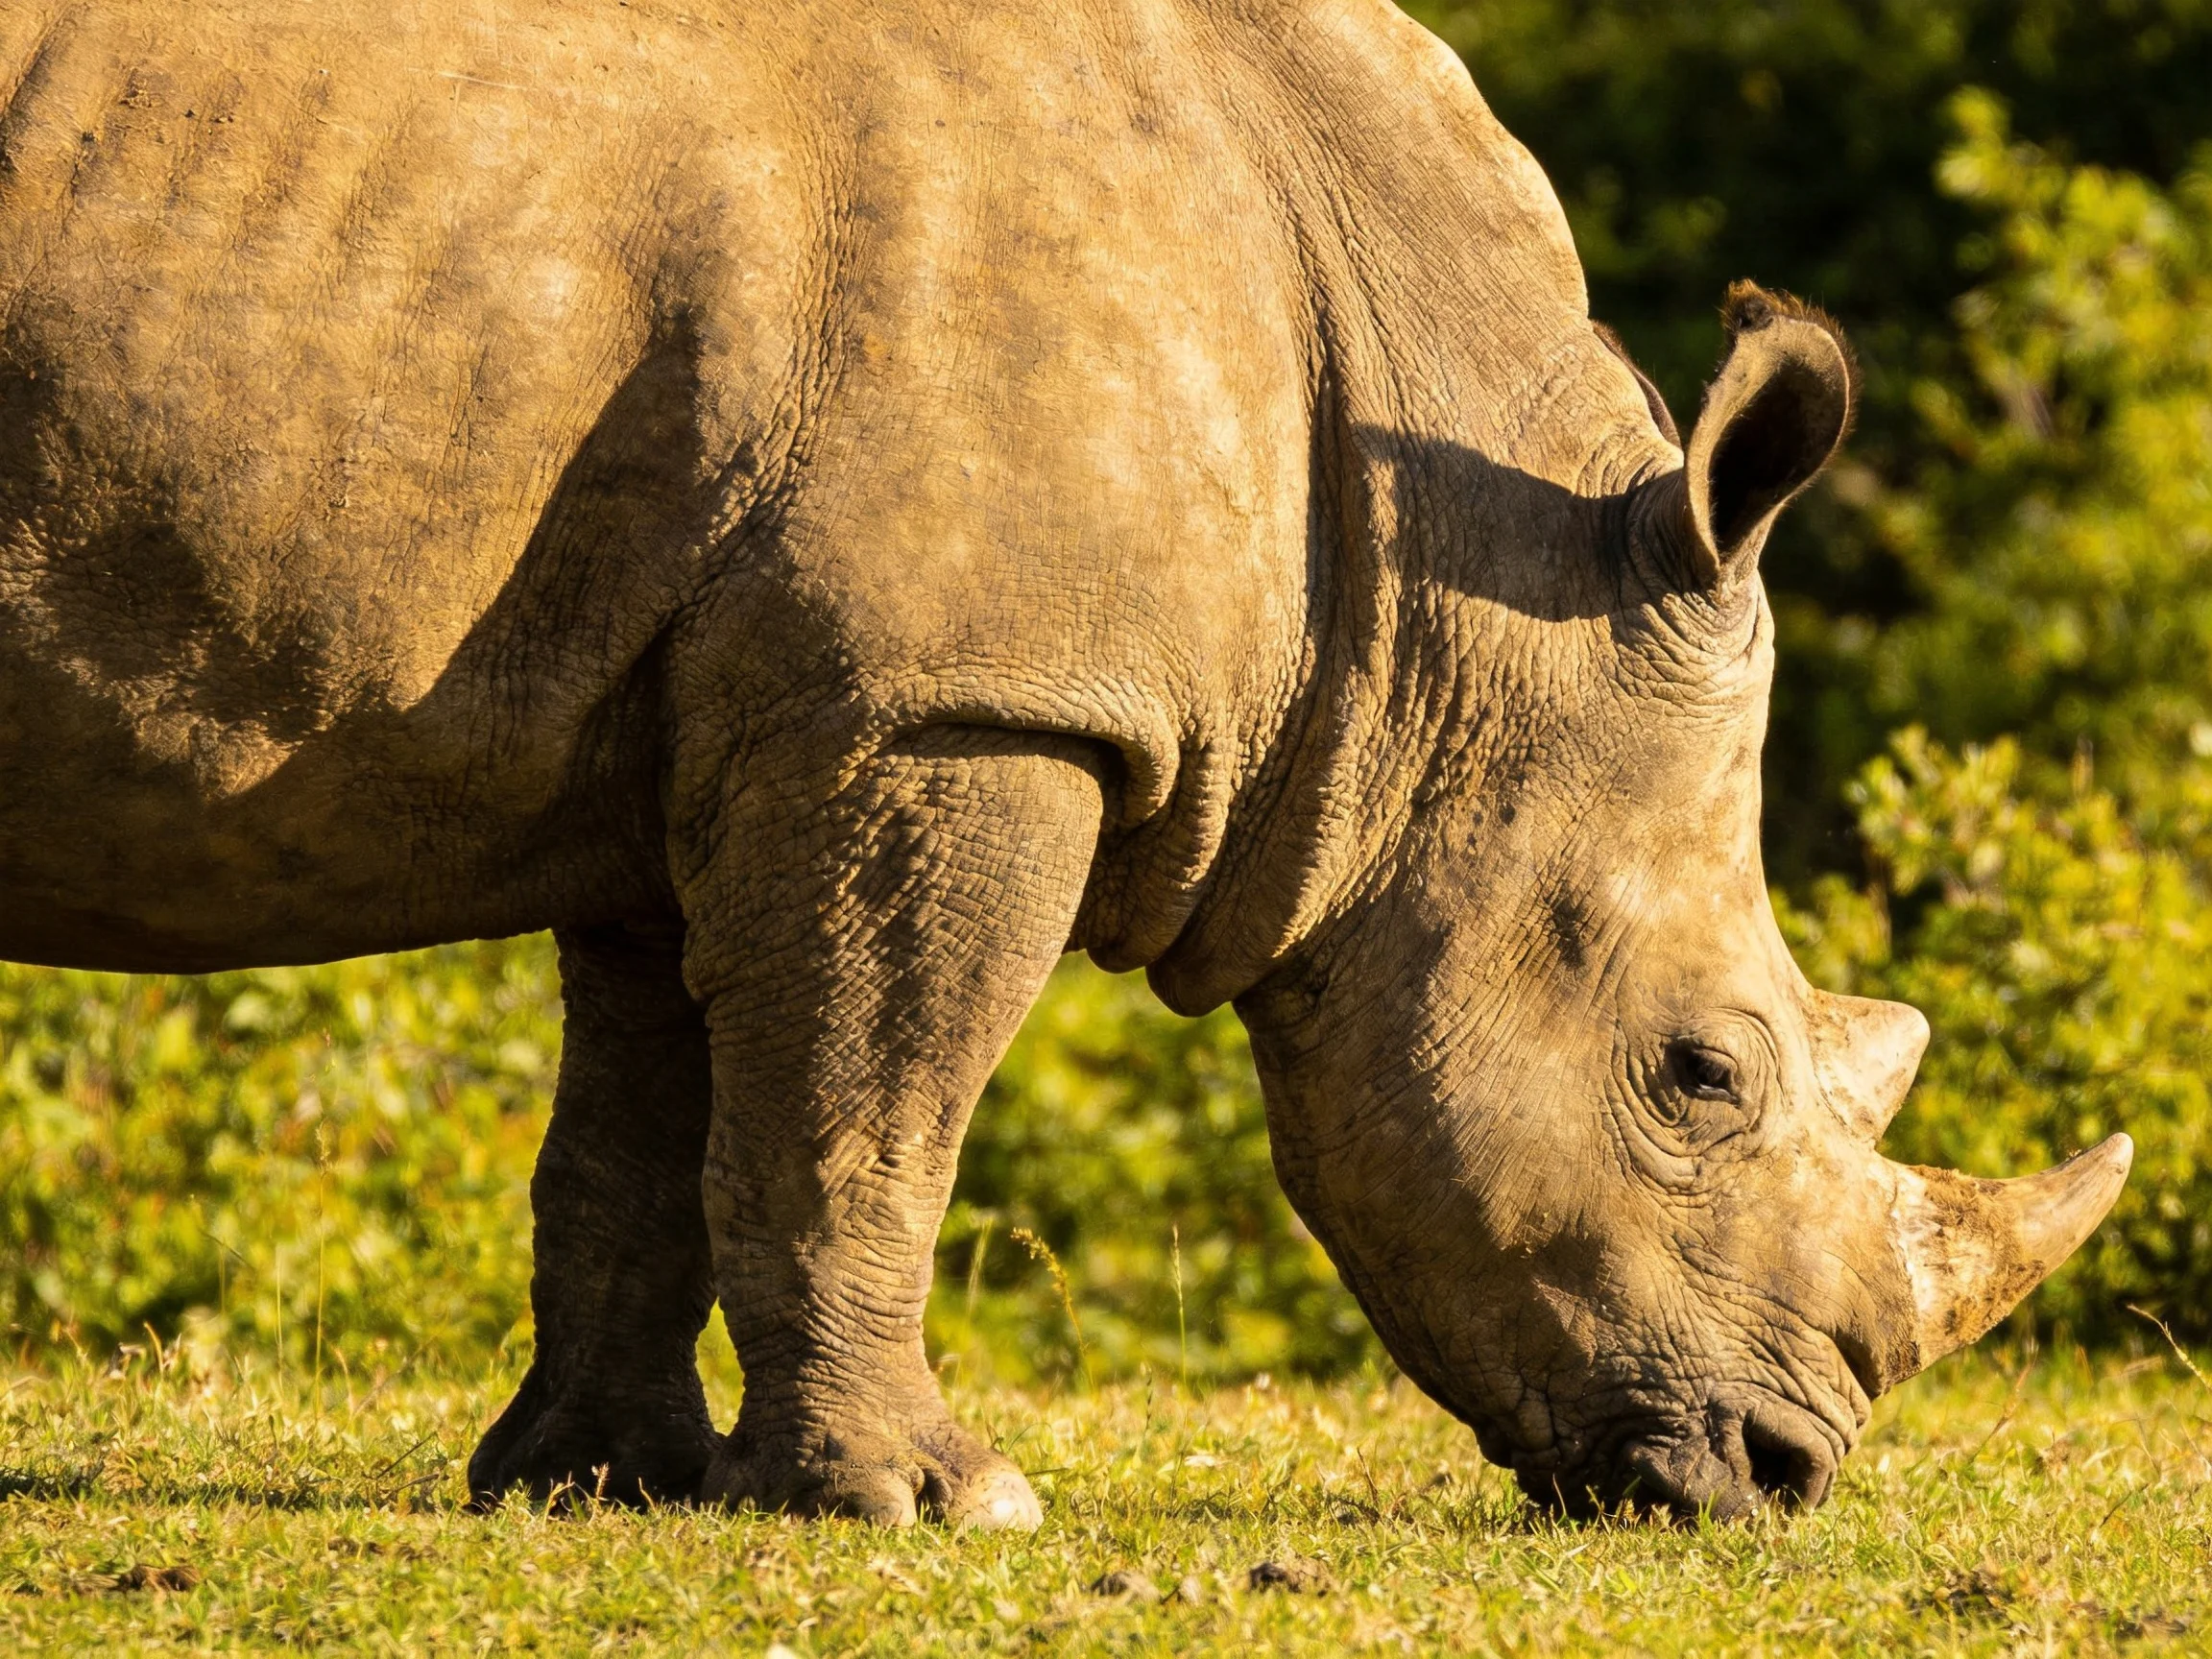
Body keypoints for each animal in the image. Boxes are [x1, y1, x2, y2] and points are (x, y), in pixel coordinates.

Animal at [0, 0, 2129, 1525]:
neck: (1435, 587)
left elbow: (650, 1119)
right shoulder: (949, 696)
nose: (1784, 1474)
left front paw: (601, 1486)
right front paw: (933, 1505)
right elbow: (873, 1099)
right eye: (1699, 1076)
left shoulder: (738, 684)